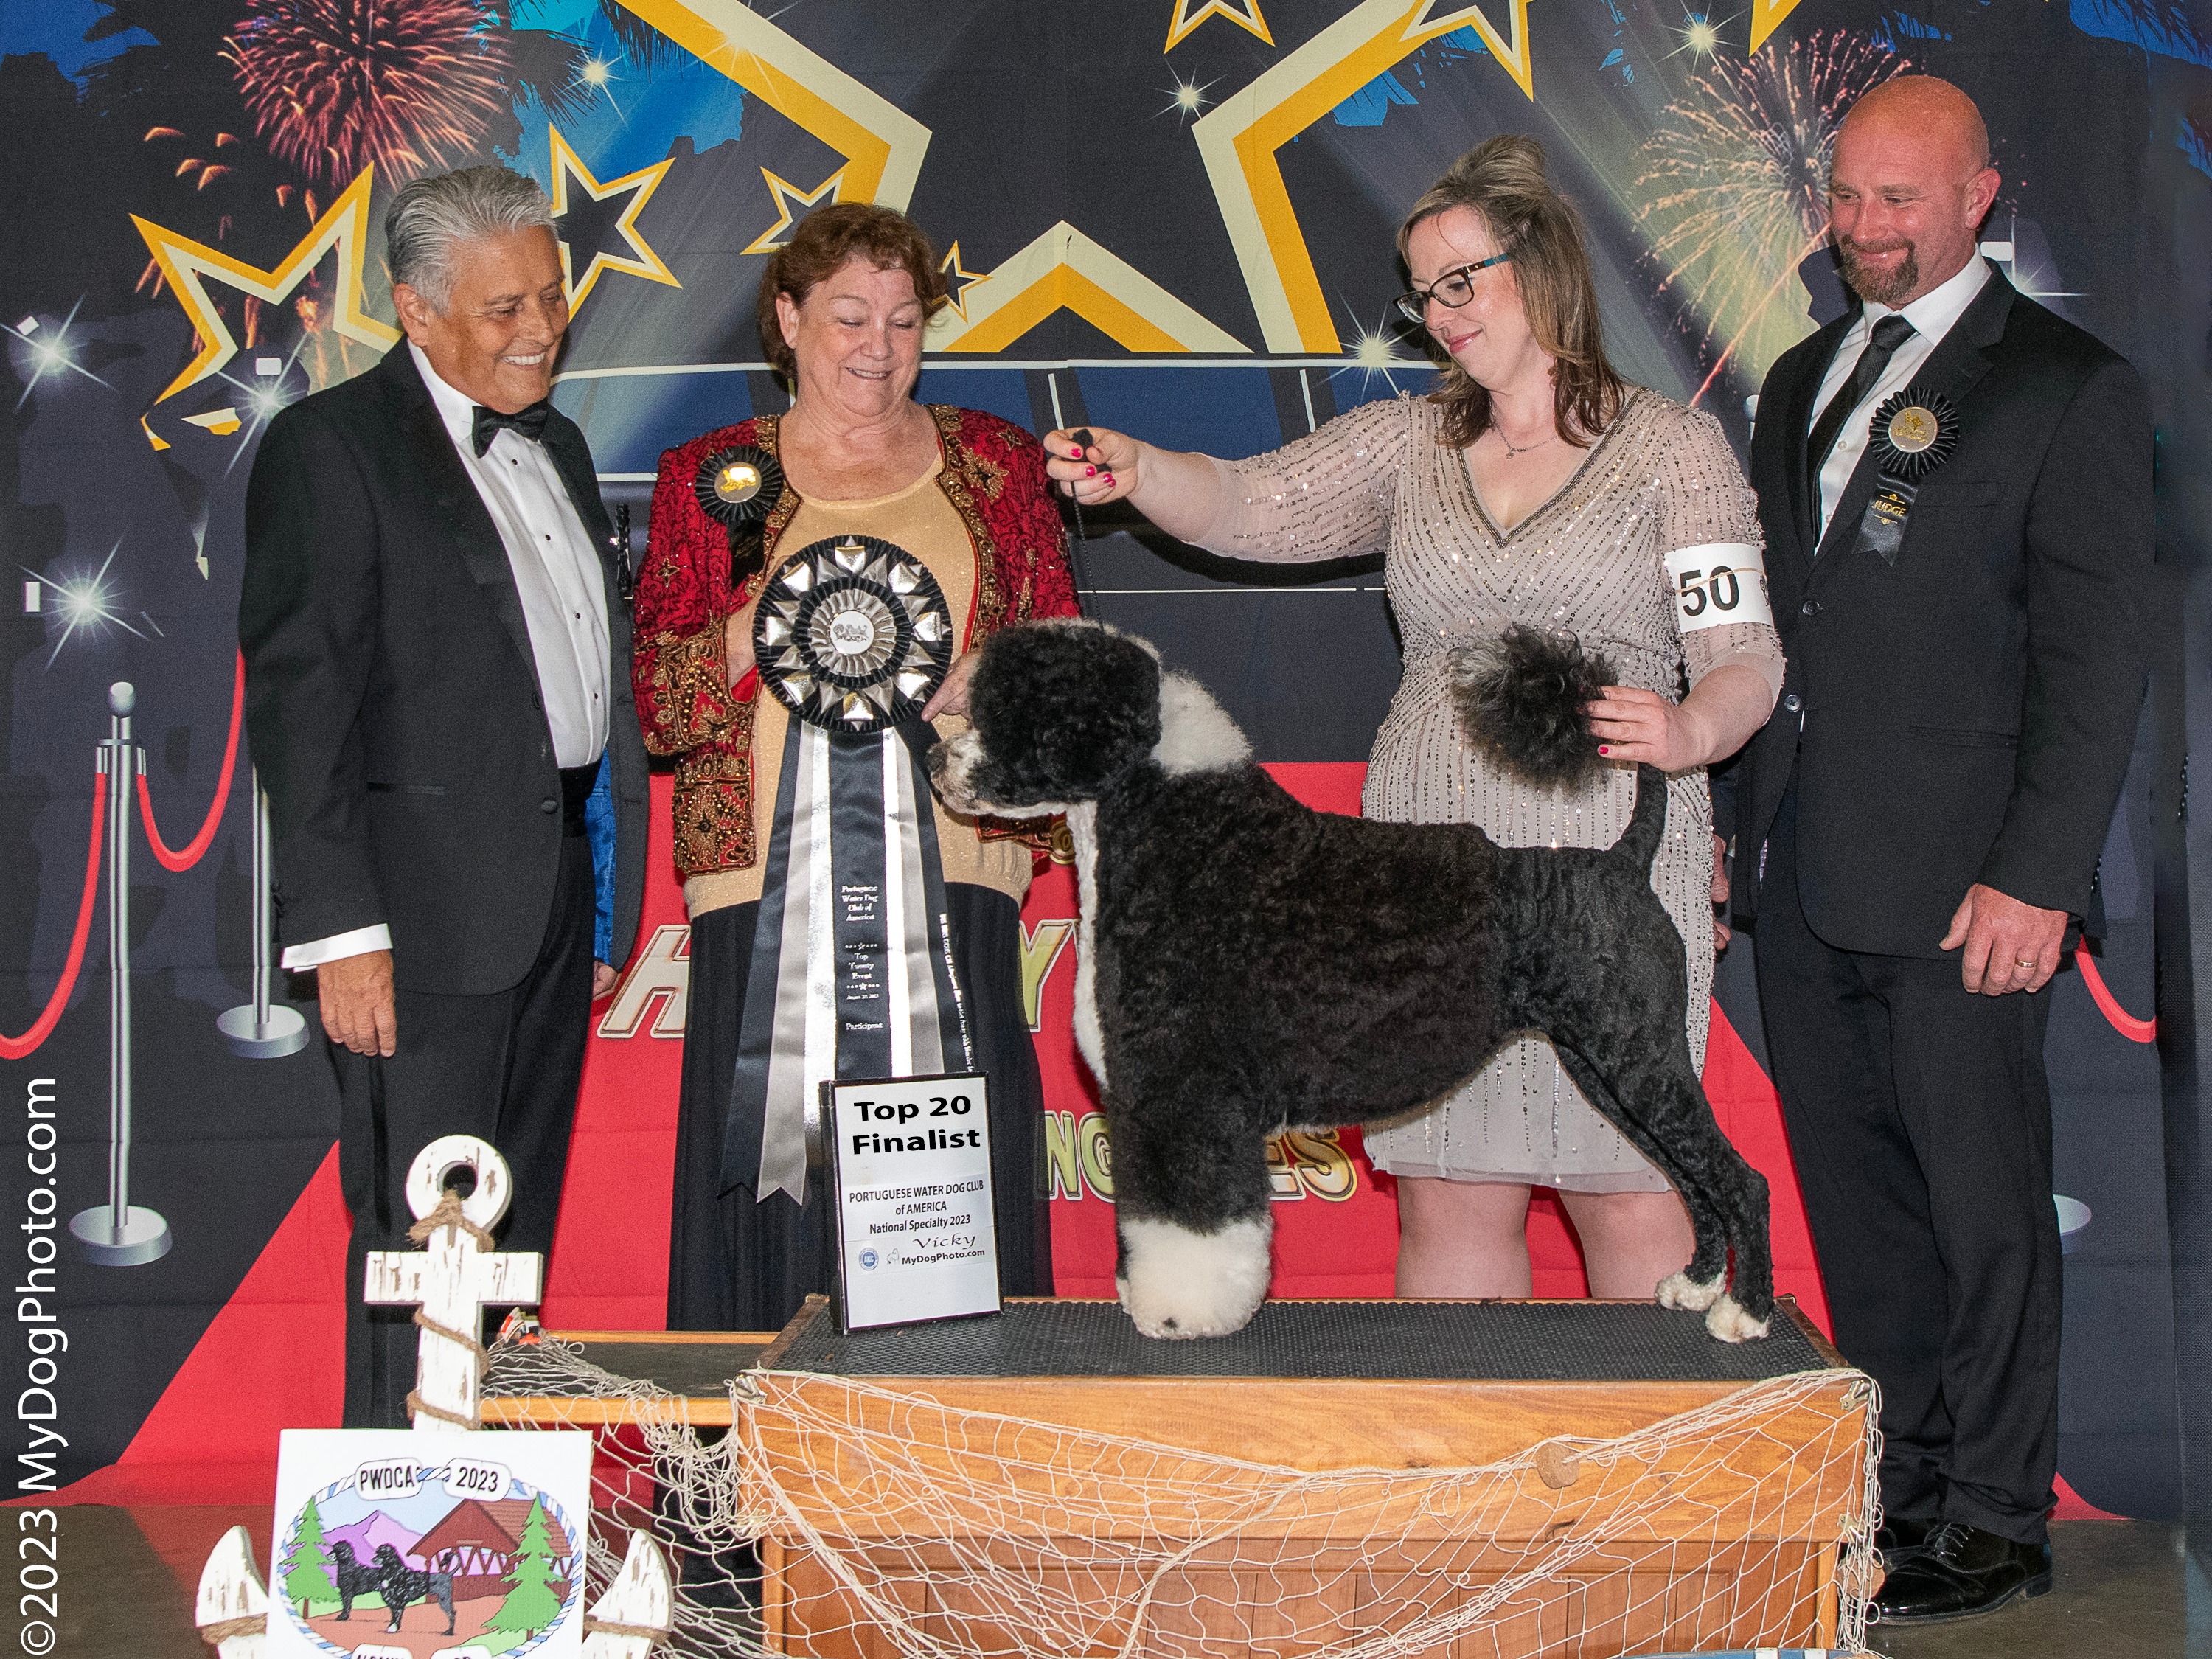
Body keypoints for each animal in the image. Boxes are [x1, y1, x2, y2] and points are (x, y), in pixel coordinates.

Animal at [929, 618, 1772, 1344]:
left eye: (1021, 712)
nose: (937, 761)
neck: (1186, 840)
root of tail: (1622, 862)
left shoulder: (1186, 1095)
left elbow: (1192, 1220)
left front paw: (1179, 1312)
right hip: (1610, 1069)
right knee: (1692, 1179)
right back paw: (1695, 1284)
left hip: (1641, 1059)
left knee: (1740, 1180)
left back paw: (1745, 1312)